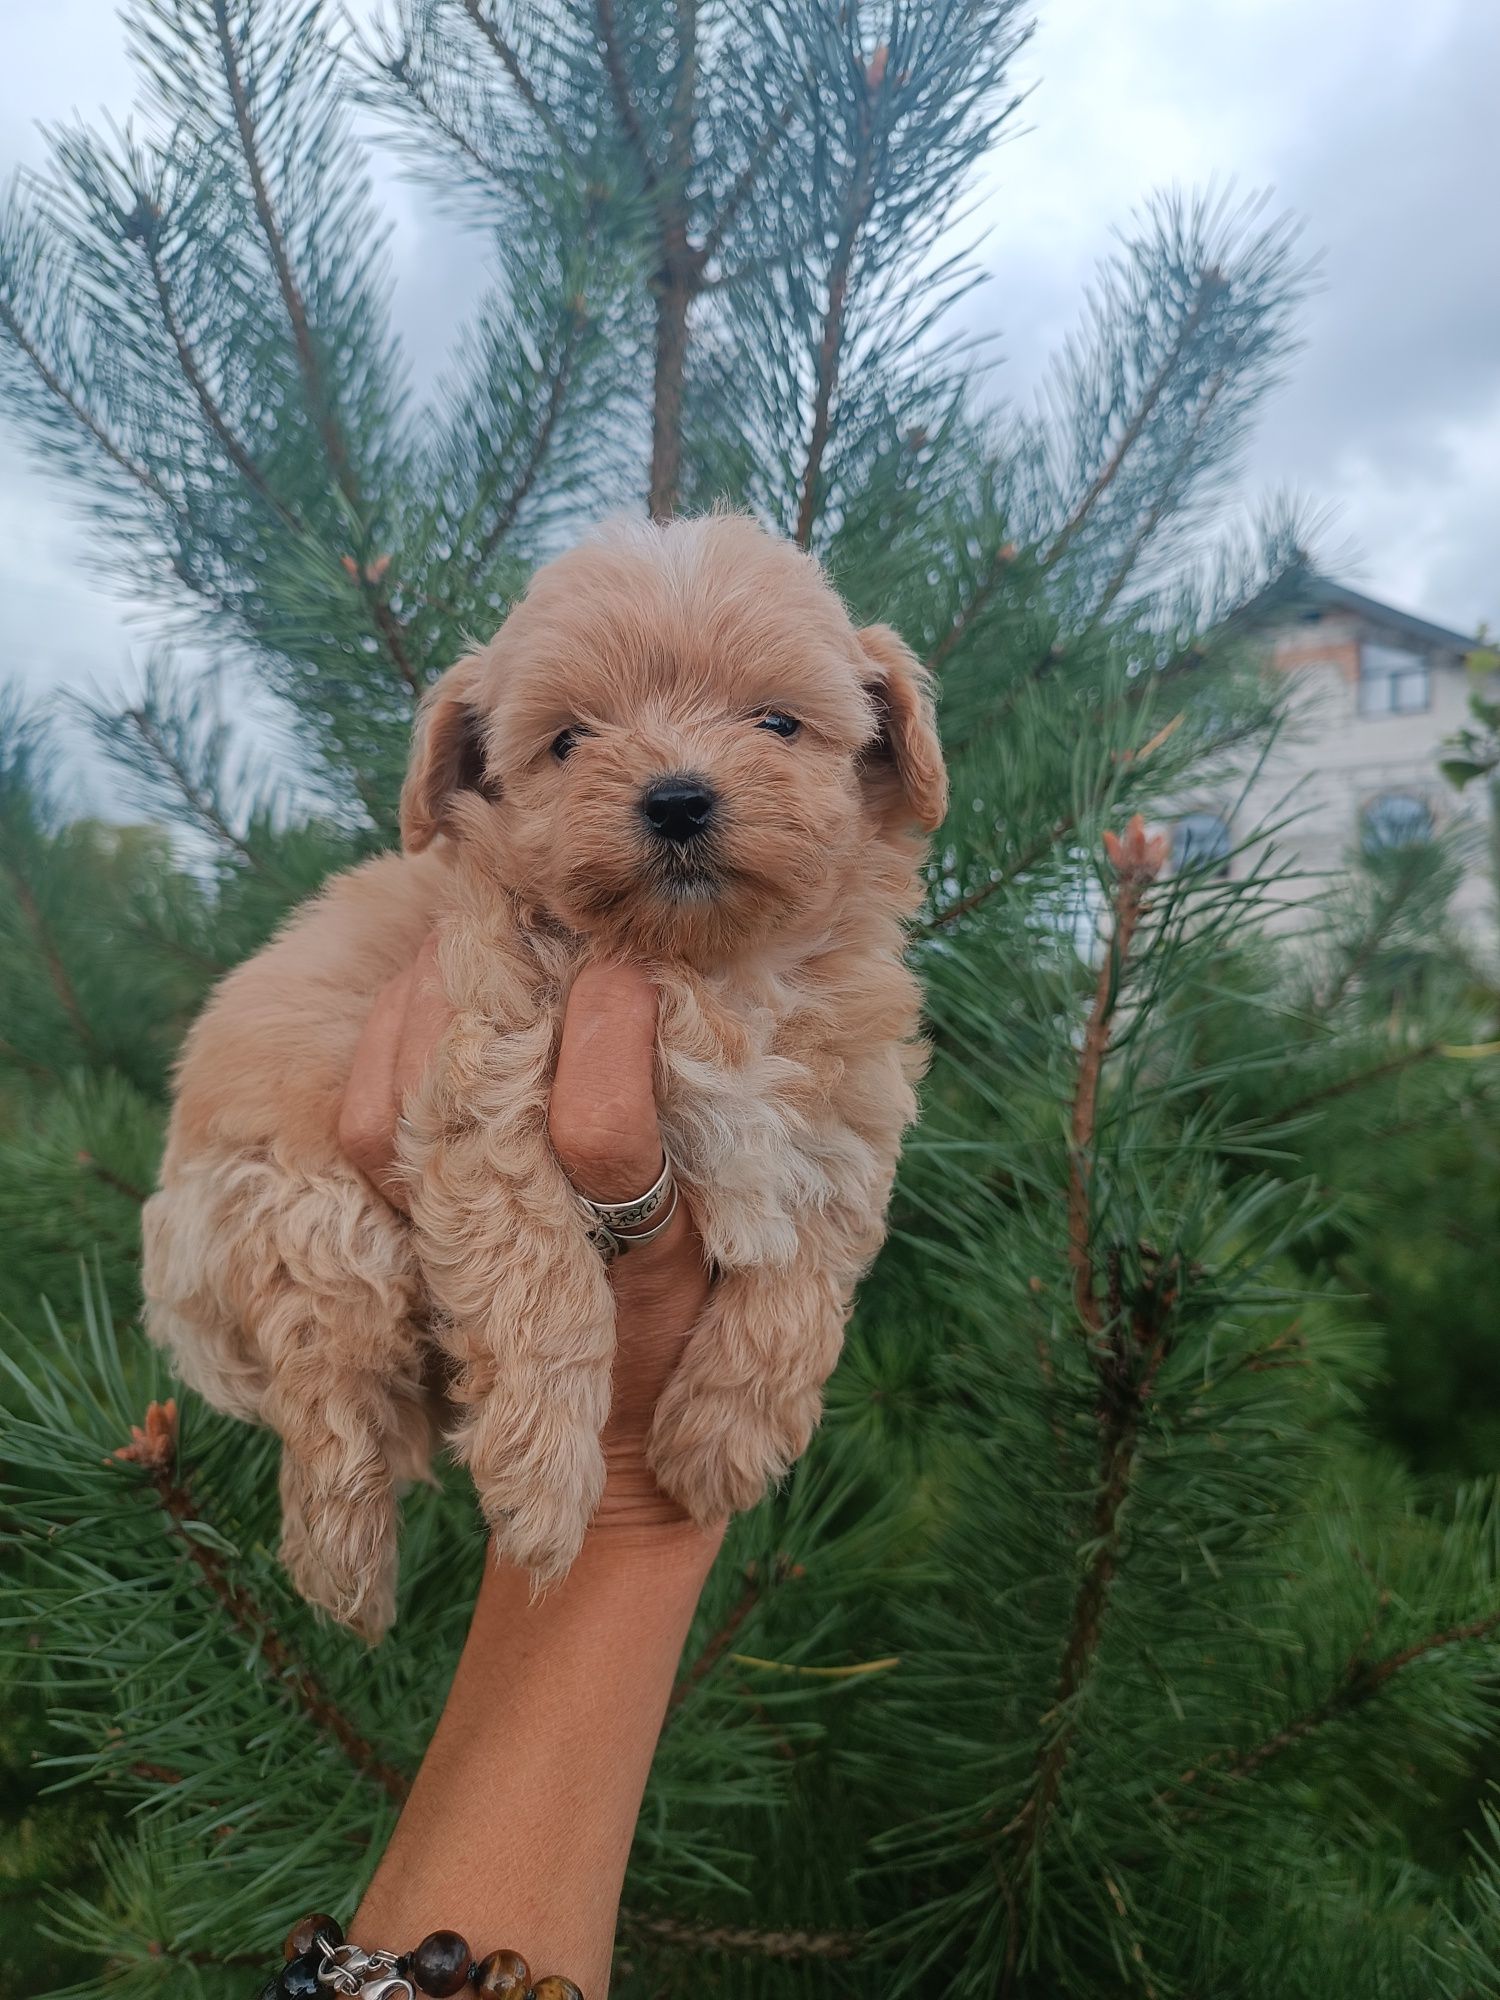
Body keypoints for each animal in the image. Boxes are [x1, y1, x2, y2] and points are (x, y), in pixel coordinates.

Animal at [150, 516, 952, 1640]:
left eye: (778, 722)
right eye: (571, 740)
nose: (677, 797)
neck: (700, 968)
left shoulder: (841, 1115)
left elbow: (804, 1282)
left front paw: (719, 1444)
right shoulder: (484, 1086)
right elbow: (542, 1289)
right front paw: (543, 1482)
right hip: (303, 1214)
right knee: (329, 1390)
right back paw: (347, 1570)